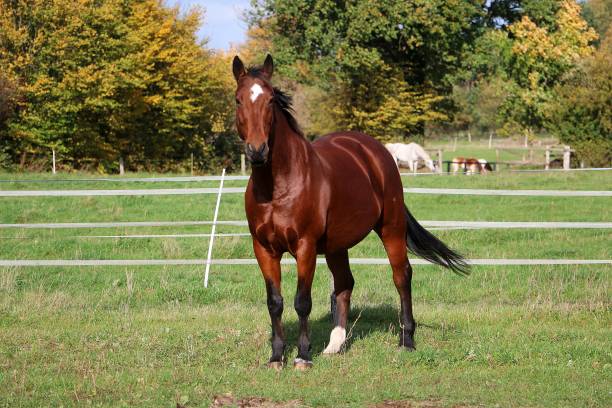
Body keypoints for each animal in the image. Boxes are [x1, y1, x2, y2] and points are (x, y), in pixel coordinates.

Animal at [232, 54, 466, 370]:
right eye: (238, 100)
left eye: (270, 100)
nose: (257, 151)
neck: (277, 186)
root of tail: (374, 150)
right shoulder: (264, 249)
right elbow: (275, 302)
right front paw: (276, 356)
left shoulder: (305, 247)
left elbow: (302, 302)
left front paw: (303, 356)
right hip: (336, 246)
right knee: (344, 284)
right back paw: (335, 345)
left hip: (391, 228)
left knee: (402, 276)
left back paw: (406, 340)